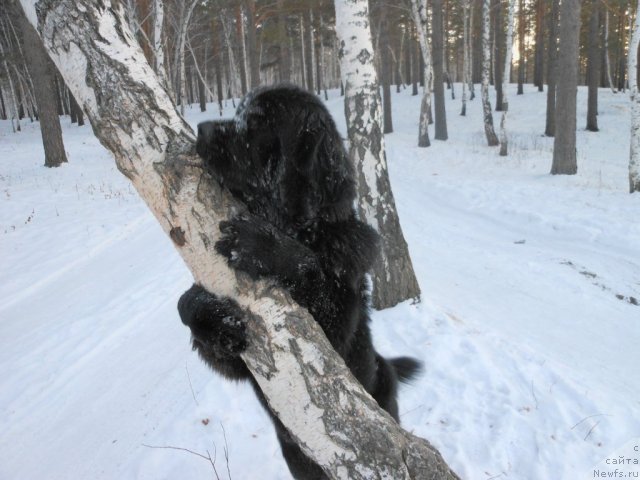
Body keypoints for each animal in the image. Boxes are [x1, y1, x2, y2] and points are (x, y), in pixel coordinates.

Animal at [178, 84, 422, 478]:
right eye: (239, 111)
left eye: (257, 126)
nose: (201, 128)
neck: (309, 232)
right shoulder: (247, 369)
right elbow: (186, 307)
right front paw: (219, 321)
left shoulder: (329, 342)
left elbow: (308, 268)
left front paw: (262, 246)